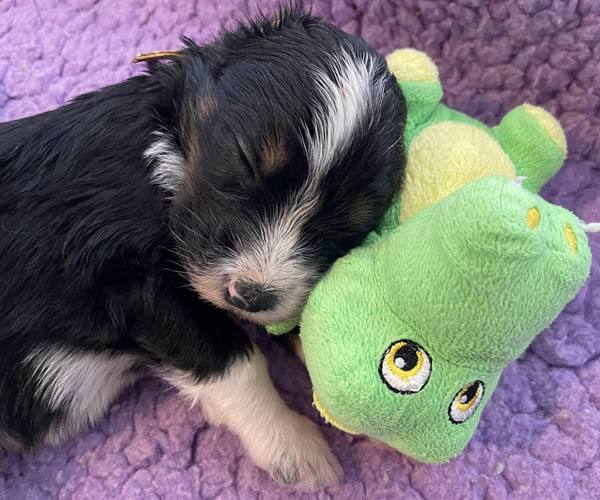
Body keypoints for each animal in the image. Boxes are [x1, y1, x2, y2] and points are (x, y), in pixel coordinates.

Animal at [0, 7, 406, 488]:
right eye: (246, 160)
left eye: (349, 223)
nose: (250, 297)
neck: (168, 156)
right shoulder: (122, 274)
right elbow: (235, 360)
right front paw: (293, 445)